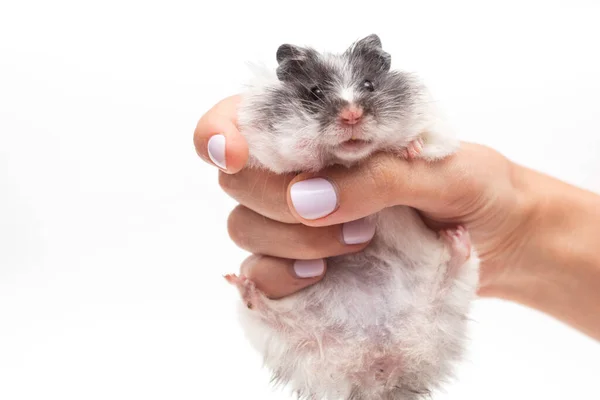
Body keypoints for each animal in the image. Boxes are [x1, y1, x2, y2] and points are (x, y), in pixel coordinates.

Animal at [225, 35, 482, 400]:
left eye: (369, 84)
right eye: (315, 91)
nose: (351, 115)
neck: (350, 159)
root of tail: (382, 366)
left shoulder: (439, 129)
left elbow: (429, 141)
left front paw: (411, 149)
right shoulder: (260, 147)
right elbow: (286, 159)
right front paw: (310, 164)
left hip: (455, 298)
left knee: (452, 271)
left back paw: (457, 237)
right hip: (286, 341)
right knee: (266, 313)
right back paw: (242, 284)